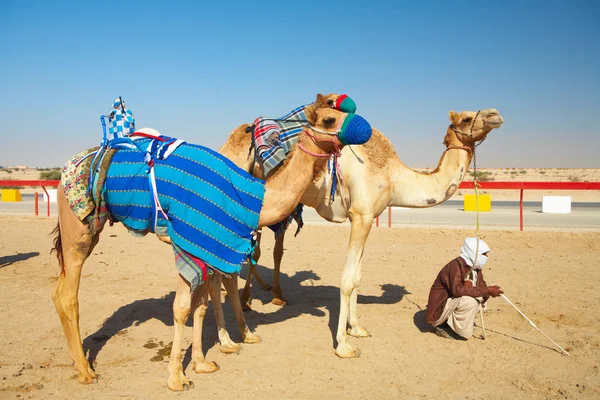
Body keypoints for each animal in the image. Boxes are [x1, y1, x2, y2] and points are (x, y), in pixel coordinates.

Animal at [50, 104, 370, 390]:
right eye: (329, 119)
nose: (365, 128)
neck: (247, 195)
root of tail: (65, 169)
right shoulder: (191, 241)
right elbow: (182, 307)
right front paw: (177, 378)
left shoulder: (210, 245)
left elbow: (201, 305)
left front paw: (203, 362)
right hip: (78, 226)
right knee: (68, 295)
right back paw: (86, 371)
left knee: (58, 289)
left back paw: (77, 362)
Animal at [218, 104, 504, 358]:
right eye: (466, 118)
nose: (495, 115)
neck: (394, 176)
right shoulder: (361, 215)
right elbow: (347, 280)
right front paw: (343, 345)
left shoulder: (368, 218)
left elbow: (357, 276)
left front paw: (356, 328)